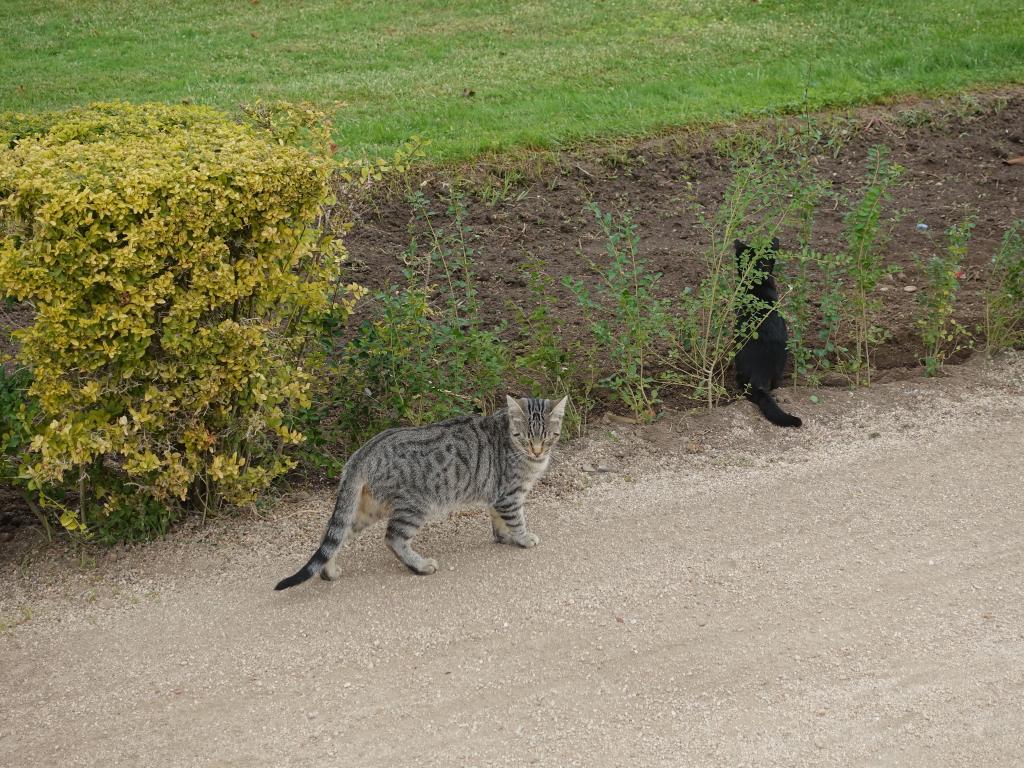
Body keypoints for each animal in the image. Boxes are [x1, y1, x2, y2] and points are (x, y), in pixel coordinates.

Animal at [276, 397, 569, 589]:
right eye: (526, 438)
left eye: (547, 437)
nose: (537, 451)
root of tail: (365, 449)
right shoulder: (510, 495)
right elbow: (517, 520)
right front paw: (523, 538)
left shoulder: (496, 496)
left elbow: (498, 521)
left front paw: (504, 538)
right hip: (415, 506)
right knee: (393, 538)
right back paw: (419, 565)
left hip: (367, 509)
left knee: (332, 534)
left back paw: (329, 571)